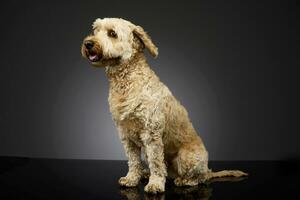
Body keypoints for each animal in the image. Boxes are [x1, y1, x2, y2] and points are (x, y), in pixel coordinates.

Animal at [81, 17, 247, 194]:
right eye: (96, 30)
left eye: (112, 33)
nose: (88, 43)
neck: (127, 81)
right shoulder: (126, 135)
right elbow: (133, 160)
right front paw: (132, 178)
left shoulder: (151, 134)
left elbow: (156, 162)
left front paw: (155, 184)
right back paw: (146, 174)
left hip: (187, 157)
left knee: (200, 177)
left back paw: (185, 180)